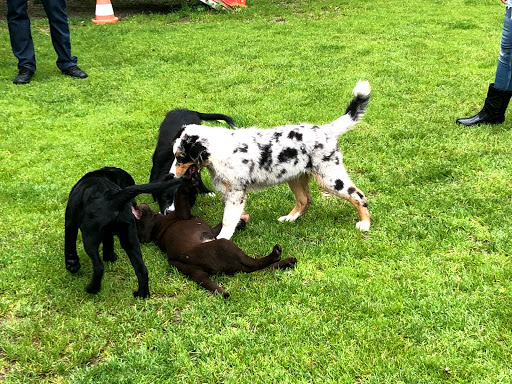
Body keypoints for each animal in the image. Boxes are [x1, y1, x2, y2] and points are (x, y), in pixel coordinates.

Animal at [63, 166, 184, 298]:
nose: (135, 204)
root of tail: (114, 198)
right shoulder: (109, 233)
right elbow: (109, 243)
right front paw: (110, 257)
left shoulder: (70, 221)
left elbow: (69, 243)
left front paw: (72, 265)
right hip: (130, 239)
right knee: (142, 269)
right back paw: (141, 295)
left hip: (90, 237)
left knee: (99, 267)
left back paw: (92, 289)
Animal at [134, 178, 298, 298]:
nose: (135, 205)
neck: (157, 226)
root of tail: (193, 268)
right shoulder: (182, 213)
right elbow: (180, 193)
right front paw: (189, 182)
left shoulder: (211, 232)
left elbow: (220, 225)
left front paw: (241, 222)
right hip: (225, 245)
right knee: (253, 265)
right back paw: (276, 254)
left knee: (255, 269)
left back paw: (286, 262)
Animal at [170, 80, 370, 240]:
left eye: (180, 157)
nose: (171, 175)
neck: (220, 149)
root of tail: (327, 130)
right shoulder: (229, 192)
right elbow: (234, 216)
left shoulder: (236, 192)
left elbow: (228, 219)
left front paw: (222, 239)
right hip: (296, 176)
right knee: (304, 199)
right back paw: (290, 218)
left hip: (330, 176)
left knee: (357, 194)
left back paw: (365, 224)